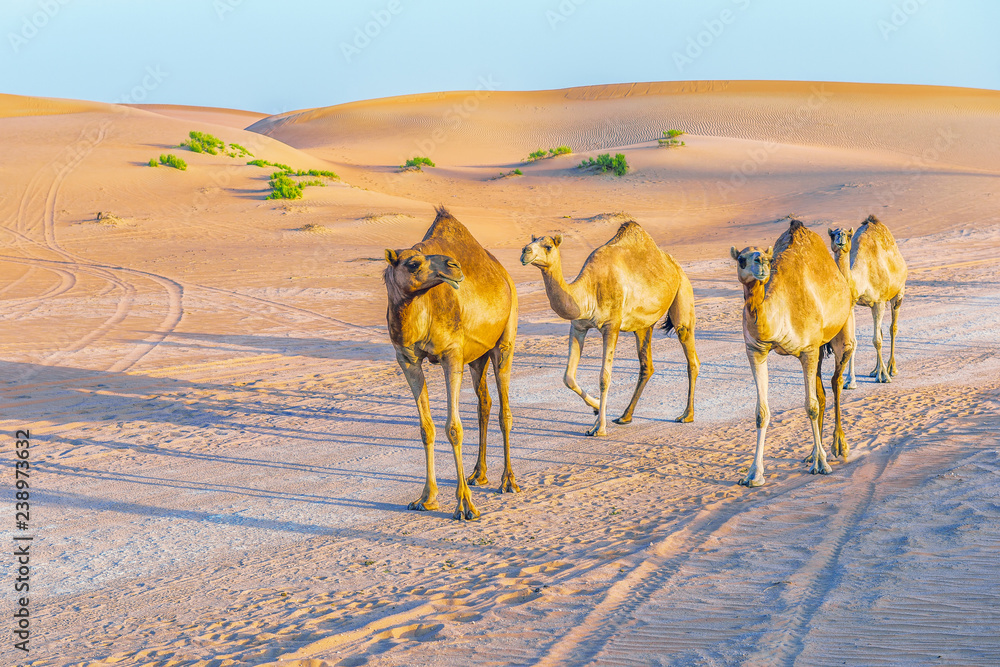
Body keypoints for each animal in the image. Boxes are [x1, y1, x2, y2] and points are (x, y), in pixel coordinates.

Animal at [382, 206, 520, 520]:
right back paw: (478, 474)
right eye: (413, 263)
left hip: (504, 340)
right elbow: (426, 427)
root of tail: (504, 274)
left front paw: (466, 506)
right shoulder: (406, 359)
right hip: (477, 357)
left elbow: (454, 428)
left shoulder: (451, 354)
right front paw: (426, 498)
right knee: (484, 402)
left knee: (504, 410)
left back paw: (508, 481)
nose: (454, 266)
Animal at [520, 222, 700, 436]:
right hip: (643, 326)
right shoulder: (578, 326)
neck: (588, 290)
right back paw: (625, 416)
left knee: (689, 352)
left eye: (548, 246)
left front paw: (599, 427)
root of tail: (675, 266)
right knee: (647, 366)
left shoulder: (611, 325)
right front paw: (596, 407)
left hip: (683, 291)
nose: (525, 251)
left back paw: (687, 415)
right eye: (531, 242)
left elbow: (604, 377)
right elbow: (568, 377)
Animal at [732, 222, 856, 488]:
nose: (761, 262)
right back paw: (813, 452)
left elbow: (811, 406)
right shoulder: (755, 350)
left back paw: (839, 446)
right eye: (741, 259)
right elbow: (761, 412)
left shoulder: (807, 350)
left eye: (768, 257)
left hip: (843, 333)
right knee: (822, 391)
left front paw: (821, 465)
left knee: (836, 381)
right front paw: (753, 474)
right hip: (819, 348)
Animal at [828, 215, 908, 386]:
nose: (840, 238)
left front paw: (884, 376)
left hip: (899, 292)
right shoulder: (852, 305)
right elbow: (853, 341)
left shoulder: (879, 302)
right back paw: (875, 370)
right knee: (881, 331)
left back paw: (891, 368)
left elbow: (877, 340)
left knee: (892, 328)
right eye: (832, 234)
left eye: (848, 234)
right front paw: (850, 381)